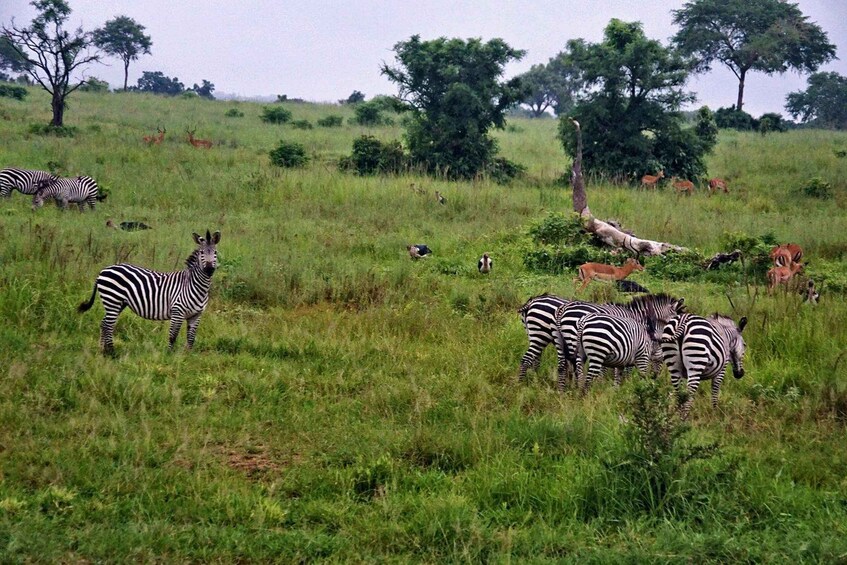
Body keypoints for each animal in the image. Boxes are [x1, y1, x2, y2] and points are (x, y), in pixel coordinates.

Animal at [78, 230, 221, 354]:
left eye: (215, 252)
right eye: (201, 252)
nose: (209, 270)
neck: (195, 286)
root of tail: (103, 270)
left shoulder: (196, 315)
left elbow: (191, 338)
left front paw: (187, 355)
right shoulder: (177, 311)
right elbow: (172, 336)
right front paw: (169, 355)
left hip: (118, 303)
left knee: (104, 324)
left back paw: (102, 350)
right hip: (112, 300)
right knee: (108, 325)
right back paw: (112, 353)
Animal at [553, 294, 685, 391]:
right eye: (676, 322)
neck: (638, 316)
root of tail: (564, 309)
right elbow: (623, 369)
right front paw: (622, 384)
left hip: (560, 340)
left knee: (563, 366)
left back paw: (563, 390)